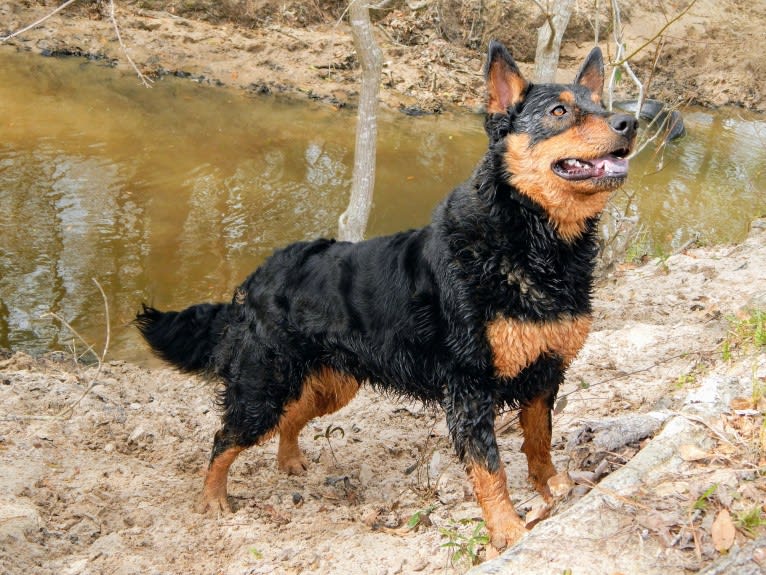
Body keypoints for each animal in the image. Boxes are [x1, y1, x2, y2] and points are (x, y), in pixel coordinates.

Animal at [135, 40, 640, 552]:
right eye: (560, 111)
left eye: (600, 105)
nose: (628, 122)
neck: (532, 245)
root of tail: (258, 275)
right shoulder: (470, 387)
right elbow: (490, 468)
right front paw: (507, 529)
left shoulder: (545, 371)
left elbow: (540, 444)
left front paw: (551, 487)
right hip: (264, 385)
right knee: (225, 438)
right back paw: (213, 498)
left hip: (332, 383)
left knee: (291, 417)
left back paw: (289, 460)